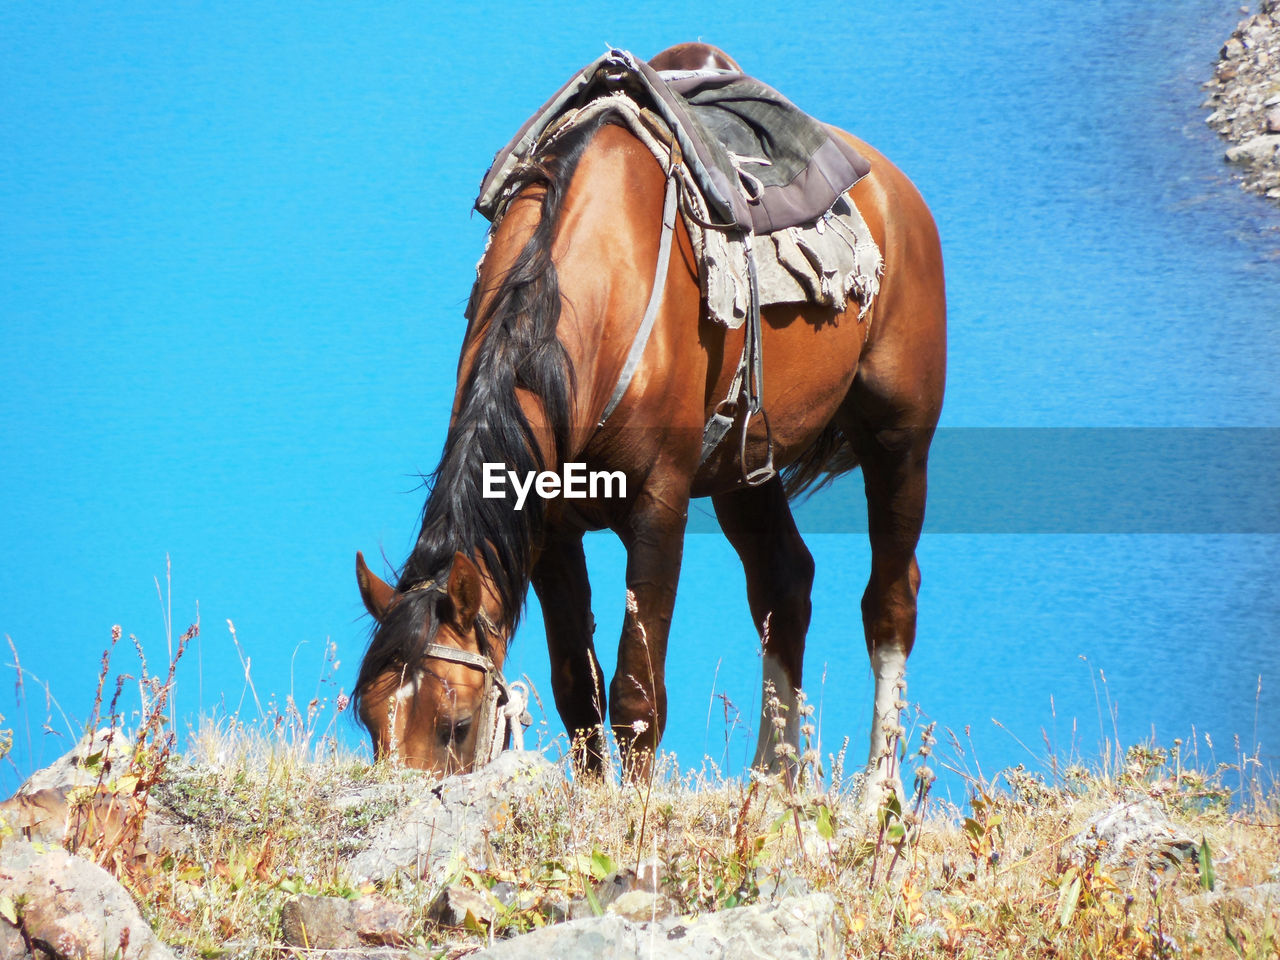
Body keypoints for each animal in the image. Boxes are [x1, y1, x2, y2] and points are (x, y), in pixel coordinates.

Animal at [355, 41, 947, 808]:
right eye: (370, 720)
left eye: (455, 724)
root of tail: (896, 191)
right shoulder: (551, 530)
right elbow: (577, 686)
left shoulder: (659, 506)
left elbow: (637, 690)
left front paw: (631, 807)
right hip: (742, 469)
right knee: (784, 583)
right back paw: (772, 781)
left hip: (899, 436)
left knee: (891, 599)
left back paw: (877, 794)